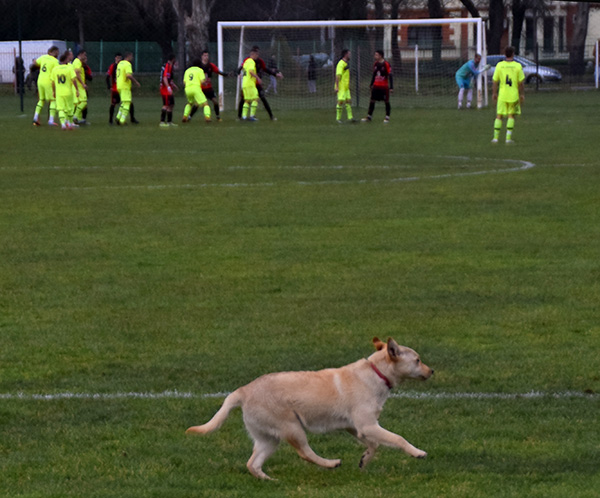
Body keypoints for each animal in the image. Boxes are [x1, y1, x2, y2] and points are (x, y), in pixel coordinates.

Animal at [186, 336, 432, 480]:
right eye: (418, 360)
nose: (432, 371)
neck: (376, 373)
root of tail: (243, 390)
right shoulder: (367, 425)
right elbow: (398, 438)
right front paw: (417, 452)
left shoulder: (356, 428)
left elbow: (374, 444)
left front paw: (364, 460)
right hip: (293, 428)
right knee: (305, 453)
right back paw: (331, 463)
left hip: (268, 439)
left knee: (252, 463)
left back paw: (268, 480)